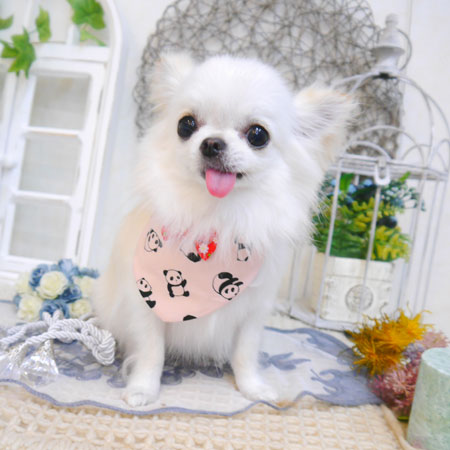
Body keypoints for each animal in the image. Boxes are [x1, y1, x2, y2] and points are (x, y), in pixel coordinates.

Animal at [93, 54, 353, 406]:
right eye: (186, 125)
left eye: (258, 135)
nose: (212, 143)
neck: (216, 219)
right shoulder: (144, 305)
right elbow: (151, 352)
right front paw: (143, 390)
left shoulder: (252, 311)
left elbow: (244, 353)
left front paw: (253, 388)